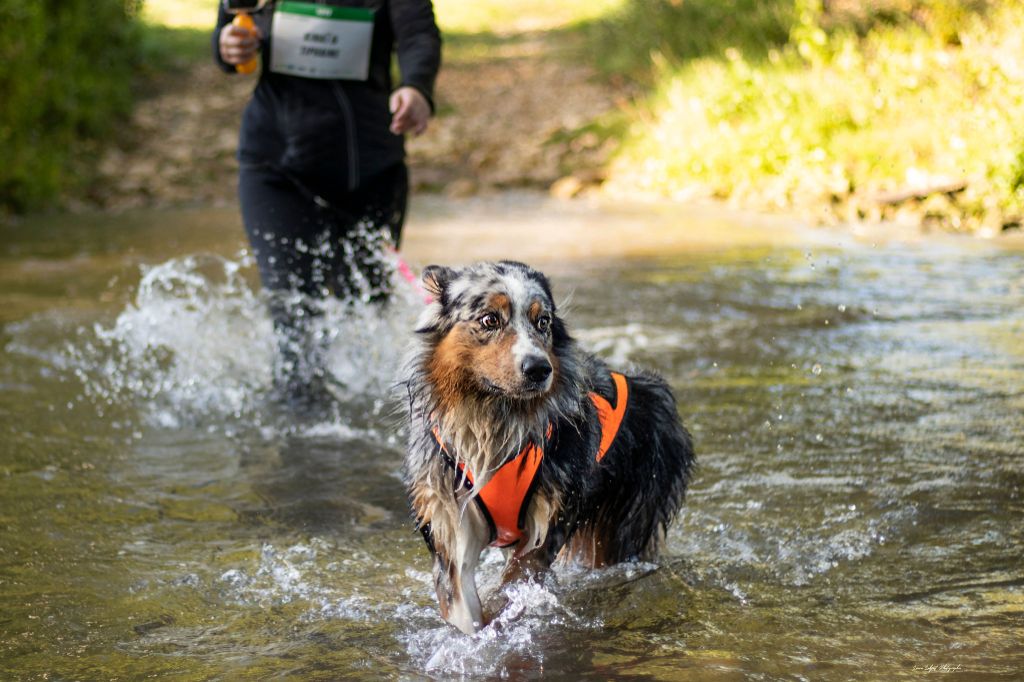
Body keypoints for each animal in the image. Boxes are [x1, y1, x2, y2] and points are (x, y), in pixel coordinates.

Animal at [395, 260, 692, 630]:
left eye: (543, 322)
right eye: (490, 319)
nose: (538, 368)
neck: (492, 417)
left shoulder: (547, 523)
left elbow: (514, 581)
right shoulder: (447, 515)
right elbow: (462, 600)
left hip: (624, 522)